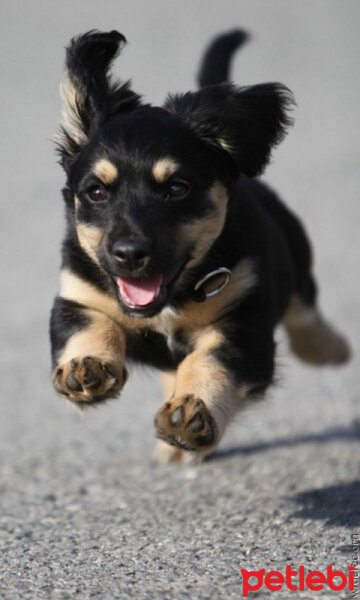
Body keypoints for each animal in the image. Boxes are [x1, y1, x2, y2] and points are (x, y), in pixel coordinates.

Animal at [49, 30, 350, 464]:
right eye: (96, 192)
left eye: (177, 189)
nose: (129, 254)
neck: (171, 300)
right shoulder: (77, 295)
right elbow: (90, 326)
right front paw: (85, 368)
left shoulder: (244, 324)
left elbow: (210, 362)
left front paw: (192, 414)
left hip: (295, 252)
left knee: (304, 310)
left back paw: (329, 349)